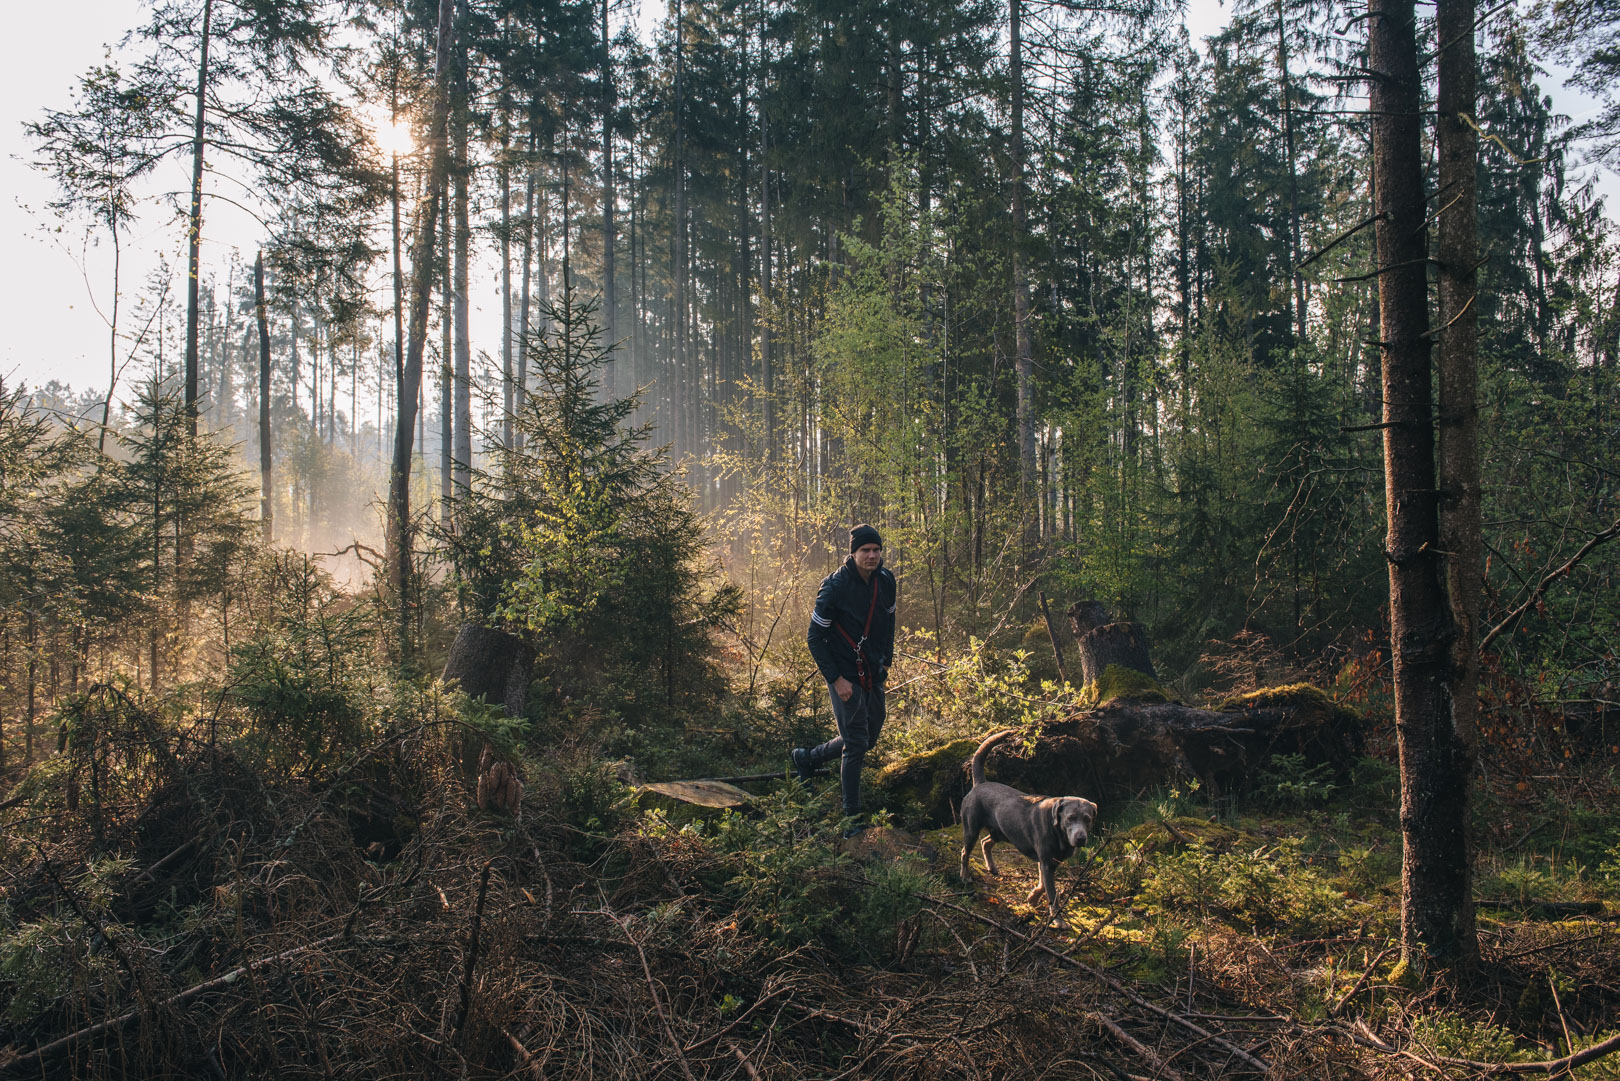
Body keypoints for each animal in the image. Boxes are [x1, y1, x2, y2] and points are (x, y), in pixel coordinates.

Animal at [952, 732, 1095, 920]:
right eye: (1070, 818)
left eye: (1087, 819)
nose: (1080, 838)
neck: (1057, 832)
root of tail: (980, 783)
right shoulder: (1046, 862)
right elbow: (1051, 891)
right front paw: (1058, 920)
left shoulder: (1049, 862)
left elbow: (1042, 885)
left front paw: (1032, 898)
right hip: (971, 829)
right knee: (965, 852)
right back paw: (965, 876)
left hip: (1000, 832)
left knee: (985, 842)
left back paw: (992, 867)